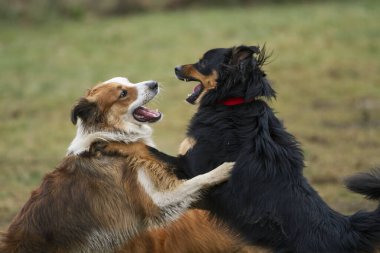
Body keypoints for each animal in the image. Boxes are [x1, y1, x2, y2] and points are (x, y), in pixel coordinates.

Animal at [0, 77, 233, 253]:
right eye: (122, 94)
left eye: (128, 81)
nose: (154, 83)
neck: (111, 135)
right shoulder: (155, 202)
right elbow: (199, 180)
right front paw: (226, 168)